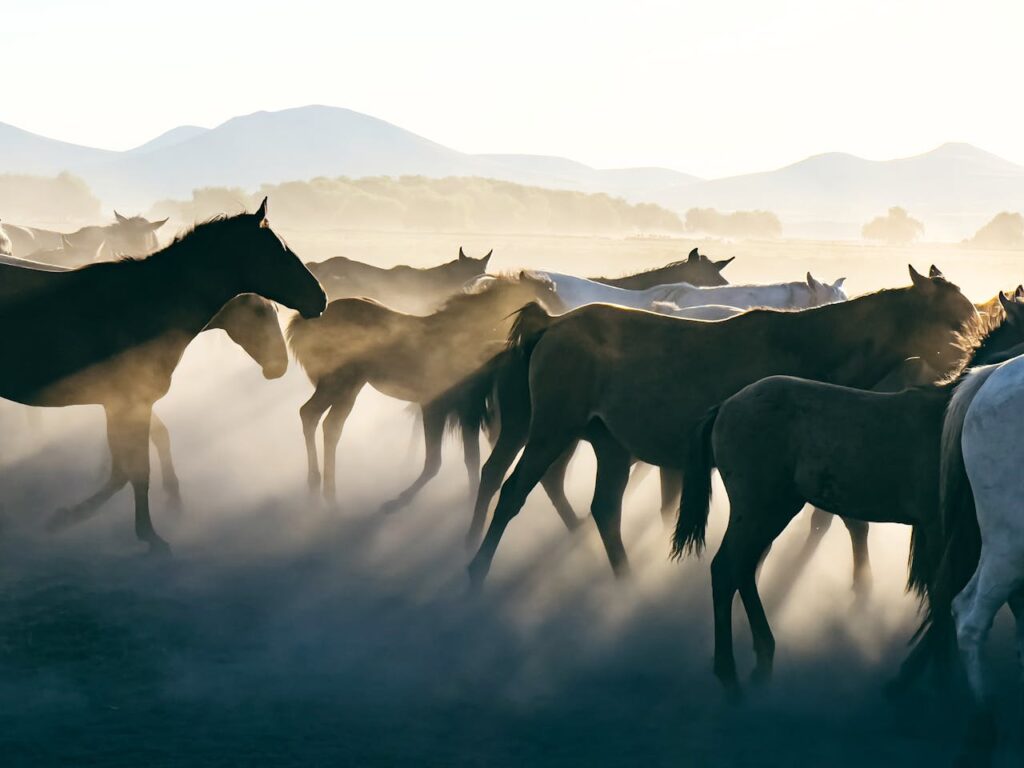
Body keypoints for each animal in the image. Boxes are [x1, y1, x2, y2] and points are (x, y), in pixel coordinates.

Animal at [0, 199, 325, 554]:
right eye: (277, 252)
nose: (320, 298)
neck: (147, 303)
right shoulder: (129, 404)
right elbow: (135, 471)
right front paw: (148, 535)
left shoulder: (123, 406)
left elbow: (124, 469)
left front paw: (70, 516)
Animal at [287, 275, 564, 512]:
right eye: (548, 295)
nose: (561, 318)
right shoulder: (436, 406)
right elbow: (435, 462)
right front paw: (399, 501)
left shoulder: (468, 410)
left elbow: (470, 460)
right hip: (339, 384)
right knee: (310, 415)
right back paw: (318, 490)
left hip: (350, 388)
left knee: (329, 426)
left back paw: (327, 494)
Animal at [449, 266, 976, 586]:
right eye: (954, 318)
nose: (977, 355)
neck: (803, 348)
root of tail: (551, 325)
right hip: (550, 431)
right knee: (511, 490)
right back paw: (475, 571)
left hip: (608, 443)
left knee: (603, 510)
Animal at [670, 290, 1024, 699]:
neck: (951, 413)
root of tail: (726, 406)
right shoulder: (942, 527)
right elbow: (941, 593)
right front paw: (931, 677)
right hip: (761, 508)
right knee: (726, 569)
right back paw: (730, 675)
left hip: (774, 509)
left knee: (742, 567)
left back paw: (762, 656)